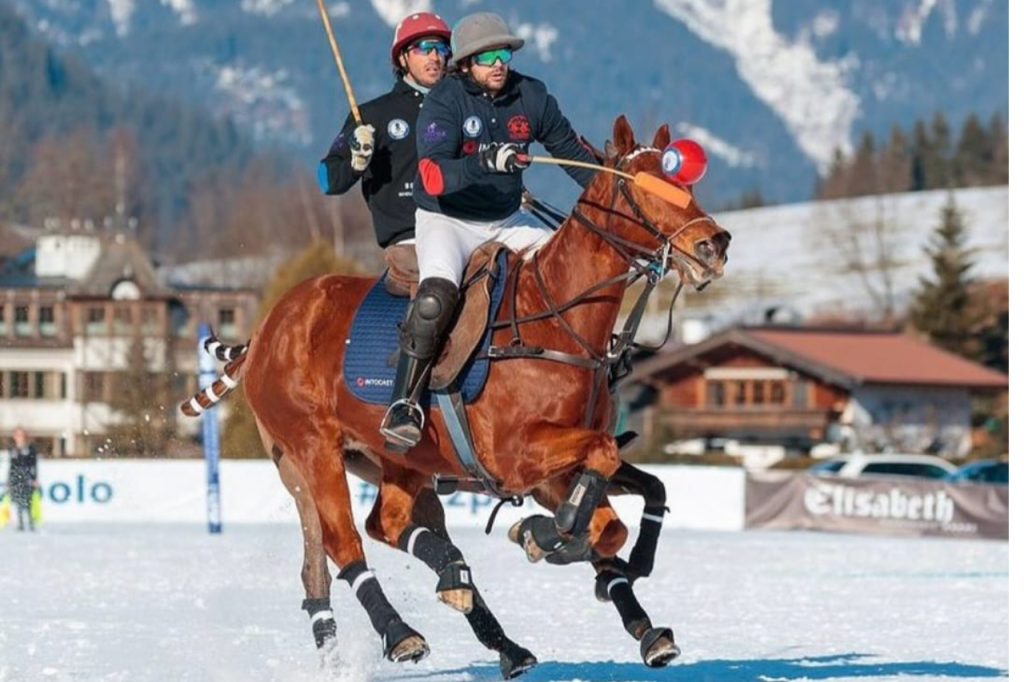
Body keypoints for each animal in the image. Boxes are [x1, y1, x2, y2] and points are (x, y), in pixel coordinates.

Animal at [182, 115, 729, 667]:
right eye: (640, 185)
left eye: (687, 183)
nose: (715, 244)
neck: (558, 323)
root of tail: (266, 328)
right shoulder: (517, 457)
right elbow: (598, 486)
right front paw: (537, 536)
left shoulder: (558, 468)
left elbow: (623, 506)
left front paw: (631, 594)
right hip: (312, 451)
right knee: (345, 542)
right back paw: (402, 631)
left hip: (390, 463)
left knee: (374, 530)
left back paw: (478, 611)